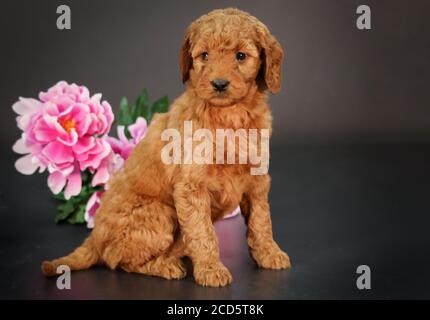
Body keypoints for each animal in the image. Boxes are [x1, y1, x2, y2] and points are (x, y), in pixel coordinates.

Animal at [42, 7, 292, 288]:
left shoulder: (257, 181)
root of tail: (94, 238)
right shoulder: (191, 186)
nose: (219, 84)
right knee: (122, 261)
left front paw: (269, 253)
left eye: (241, 56)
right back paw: (167, 265)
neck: (229, 116)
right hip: (159, 213)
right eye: (204, 55)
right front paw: (210, 269)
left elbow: (261, 221)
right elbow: (203, 233)